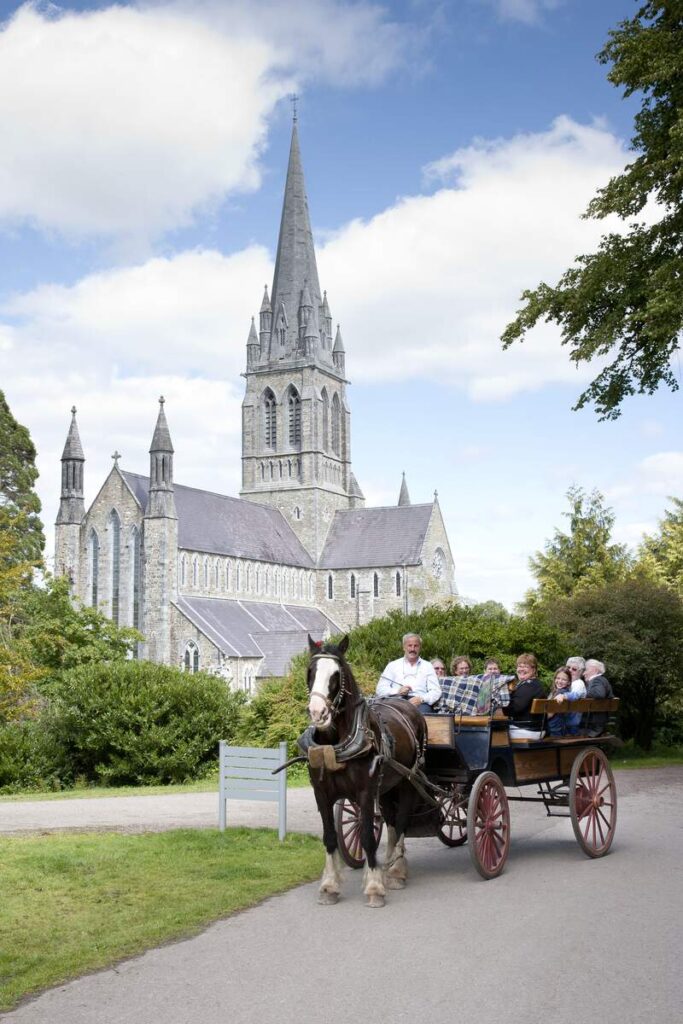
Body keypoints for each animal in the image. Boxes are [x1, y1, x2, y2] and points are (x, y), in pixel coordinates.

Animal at [305, 634, 428, 909]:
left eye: (336, 674)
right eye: (310, 671)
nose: (318, 712)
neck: (337, 744)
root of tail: (408, 705)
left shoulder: (364, 792)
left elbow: (367, 837)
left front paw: (374, 887)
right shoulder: (321, 793)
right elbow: (330, 837)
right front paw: (329, 886)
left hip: (407, 782)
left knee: (401, 822)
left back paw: (396, 872)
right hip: (387, 788)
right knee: (391, 823)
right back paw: (390, 864)